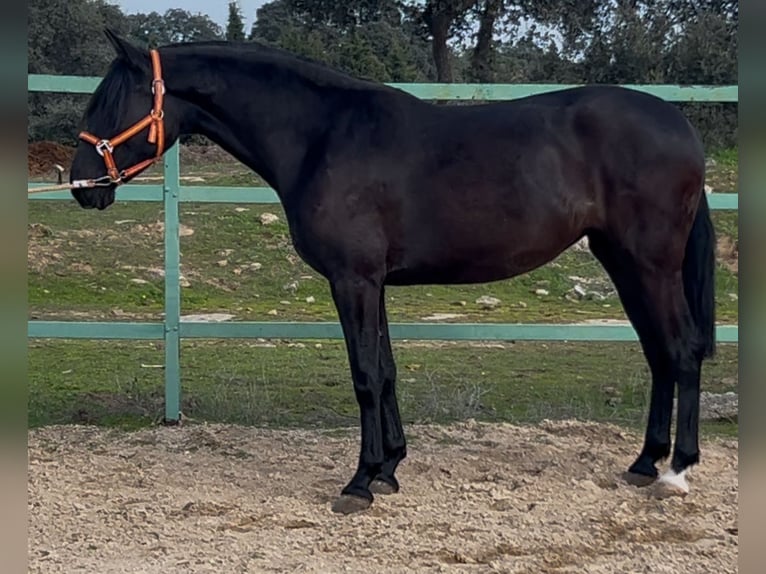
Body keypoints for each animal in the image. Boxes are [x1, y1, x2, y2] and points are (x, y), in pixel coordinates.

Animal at [69, 30, 716, 516]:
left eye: (109, 101)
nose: (79, 186)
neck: (322, 136)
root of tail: (681, 127)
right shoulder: (371, 282)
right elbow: (386, 372)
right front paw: (388, 469)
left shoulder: (352, 279)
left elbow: (365, 375)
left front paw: (358, 484)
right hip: (622, 261)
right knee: (659, 354)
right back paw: (643, 463)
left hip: (651, 264)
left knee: (681, 350)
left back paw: (676, 472)